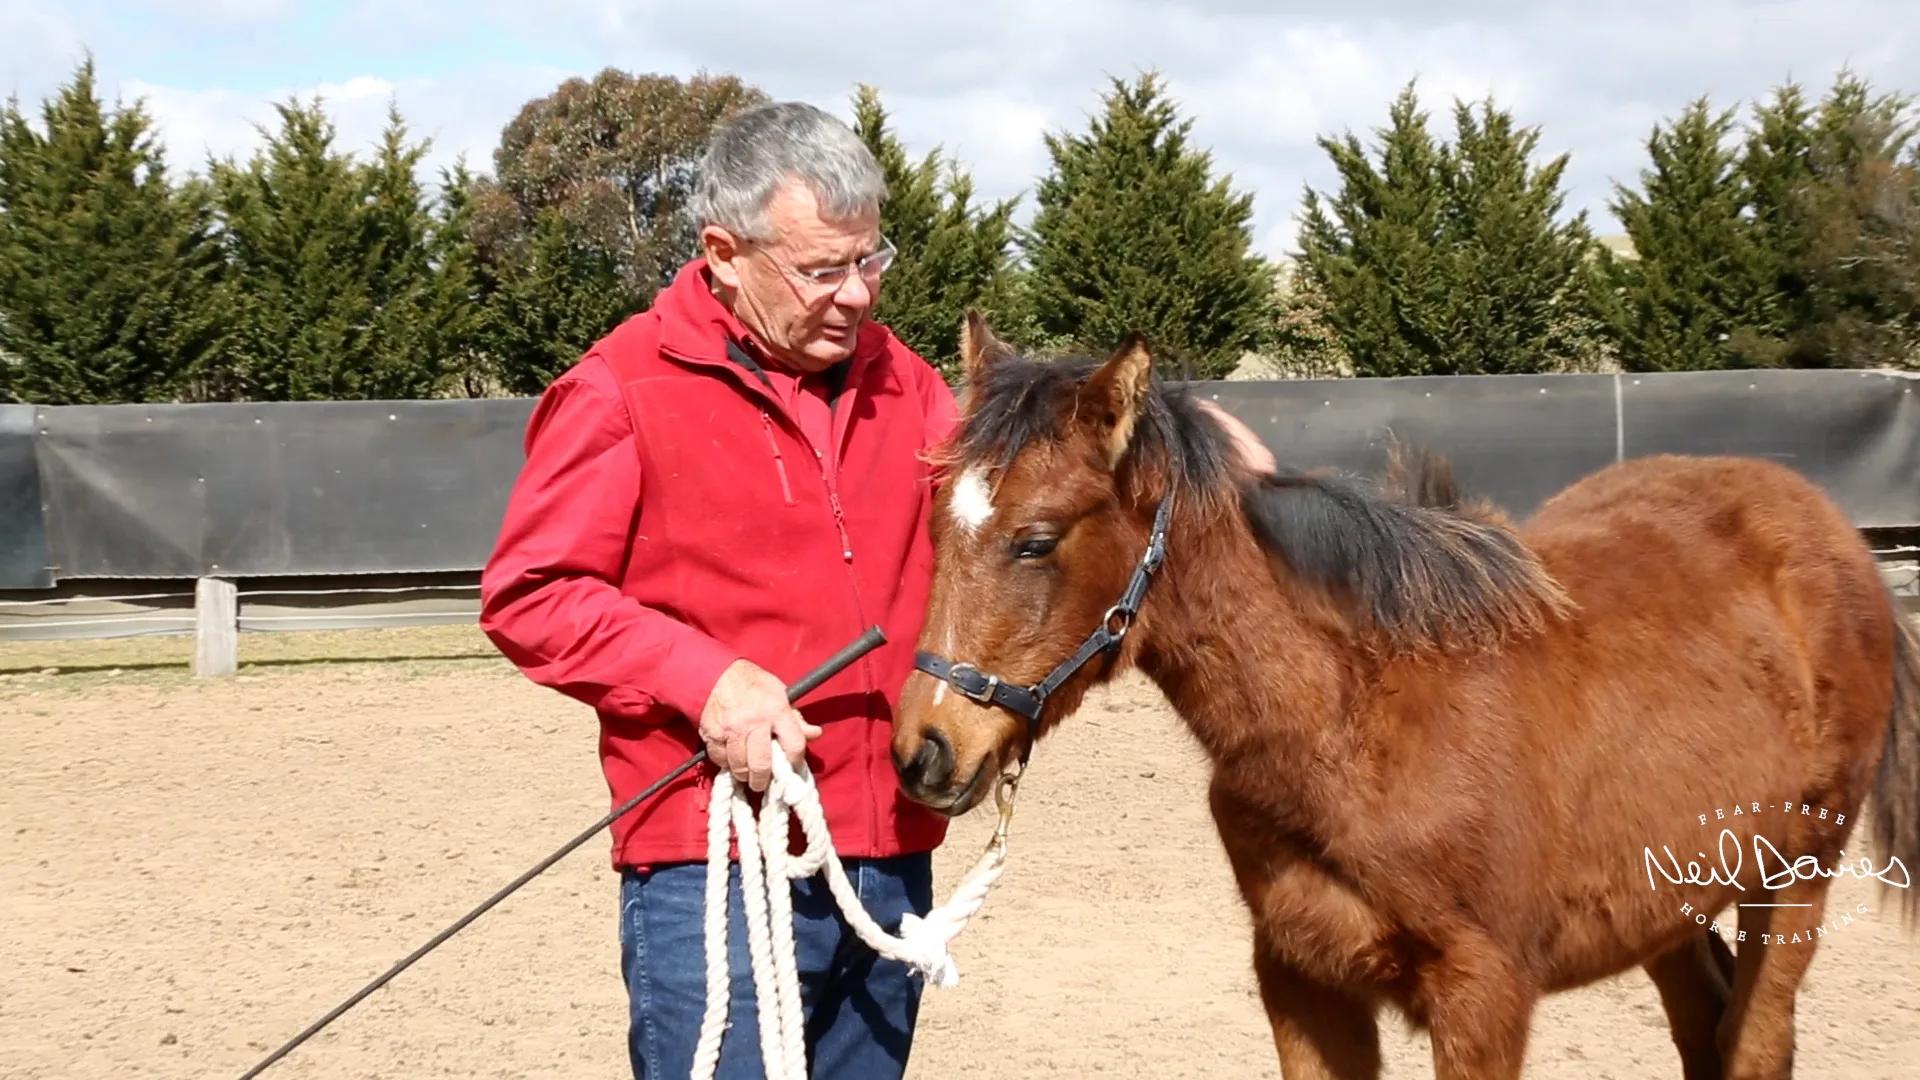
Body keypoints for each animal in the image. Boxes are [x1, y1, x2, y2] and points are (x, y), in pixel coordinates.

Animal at [890, 311, 1920, 1080]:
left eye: (1036, 540)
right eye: (935, 524)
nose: (923, 751)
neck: (1355, 721)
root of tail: (1825, 526)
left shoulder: (1483, 998)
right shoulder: (1302, 980)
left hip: (1796, 882)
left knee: (1754, 1043)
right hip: (1673, 899)